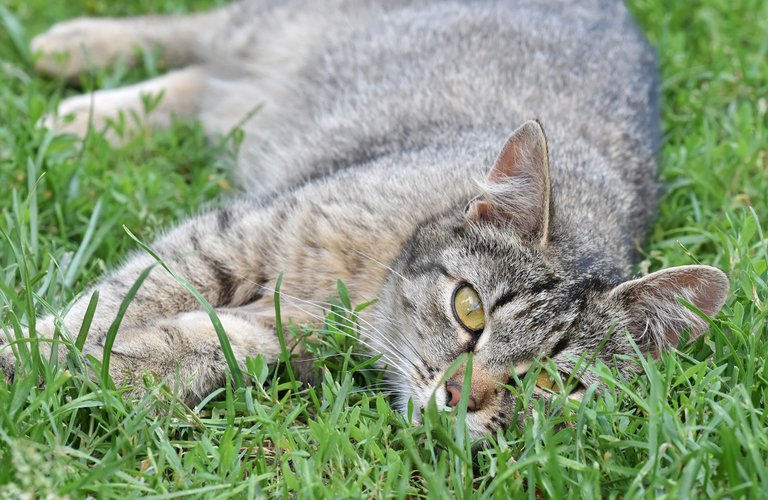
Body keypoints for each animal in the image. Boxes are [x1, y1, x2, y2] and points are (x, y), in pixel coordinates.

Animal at [1, 0, 732, 438]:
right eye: (470, 309)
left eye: (555, 383)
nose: (462, 398)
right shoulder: (238, 237)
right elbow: (104, 306)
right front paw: (25, 344)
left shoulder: (257, 331)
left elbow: (138, 349)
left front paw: (44, 368)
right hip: (279, 27)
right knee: (200, 33)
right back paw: (75, 54)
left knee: (204, 86)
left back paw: (79, 113)